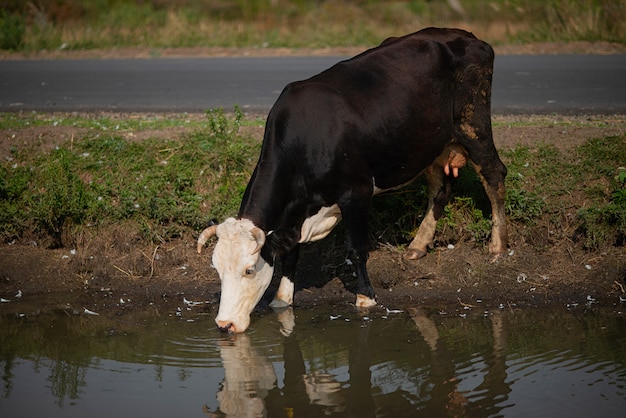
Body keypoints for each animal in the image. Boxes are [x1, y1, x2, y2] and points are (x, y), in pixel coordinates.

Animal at [199, 27, 508, 334]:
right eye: (216, 269)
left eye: (249, 269)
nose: (224, 324)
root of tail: (465, 35)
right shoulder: (294, 213)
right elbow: (291, 253)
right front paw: (281, 298)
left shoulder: (356, 193)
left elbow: (356, 249)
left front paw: (365, 297)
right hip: (428, 142)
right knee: (440, 187)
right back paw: (418, 246)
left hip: (474, 127)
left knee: (495, 175)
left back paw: (497, 247)